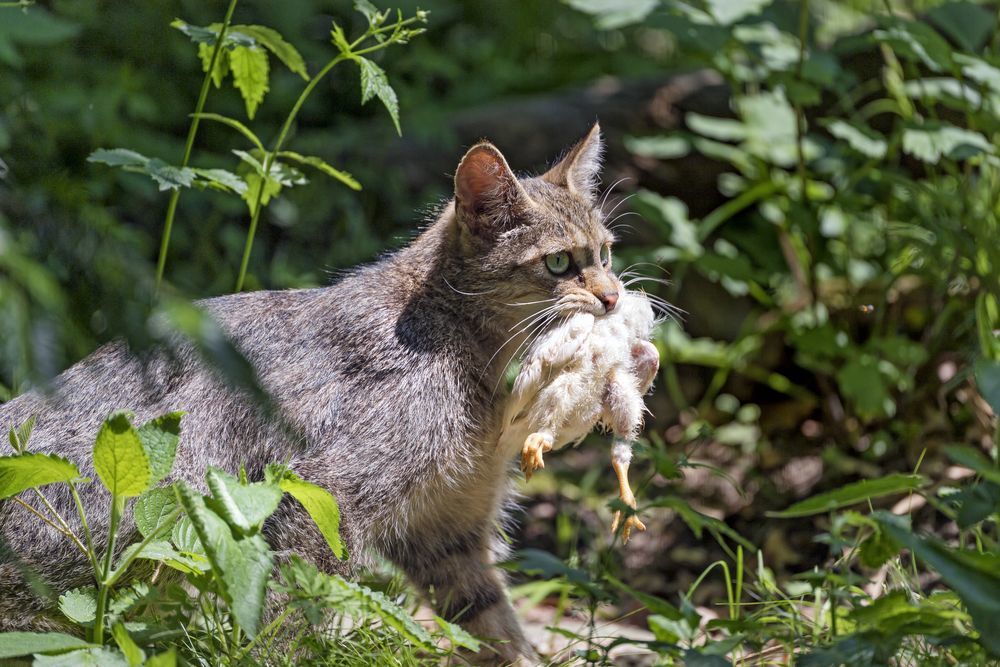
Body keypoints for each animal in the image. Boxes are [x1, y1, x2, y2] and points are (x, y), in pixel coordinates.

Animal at [0, 122, 620, 664]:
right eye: (559, 262)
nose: (614, 296)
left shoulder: (449, 526)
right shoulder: (322, 495)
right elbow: (287, 614)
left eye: (606, 253)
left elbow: (493, 623)